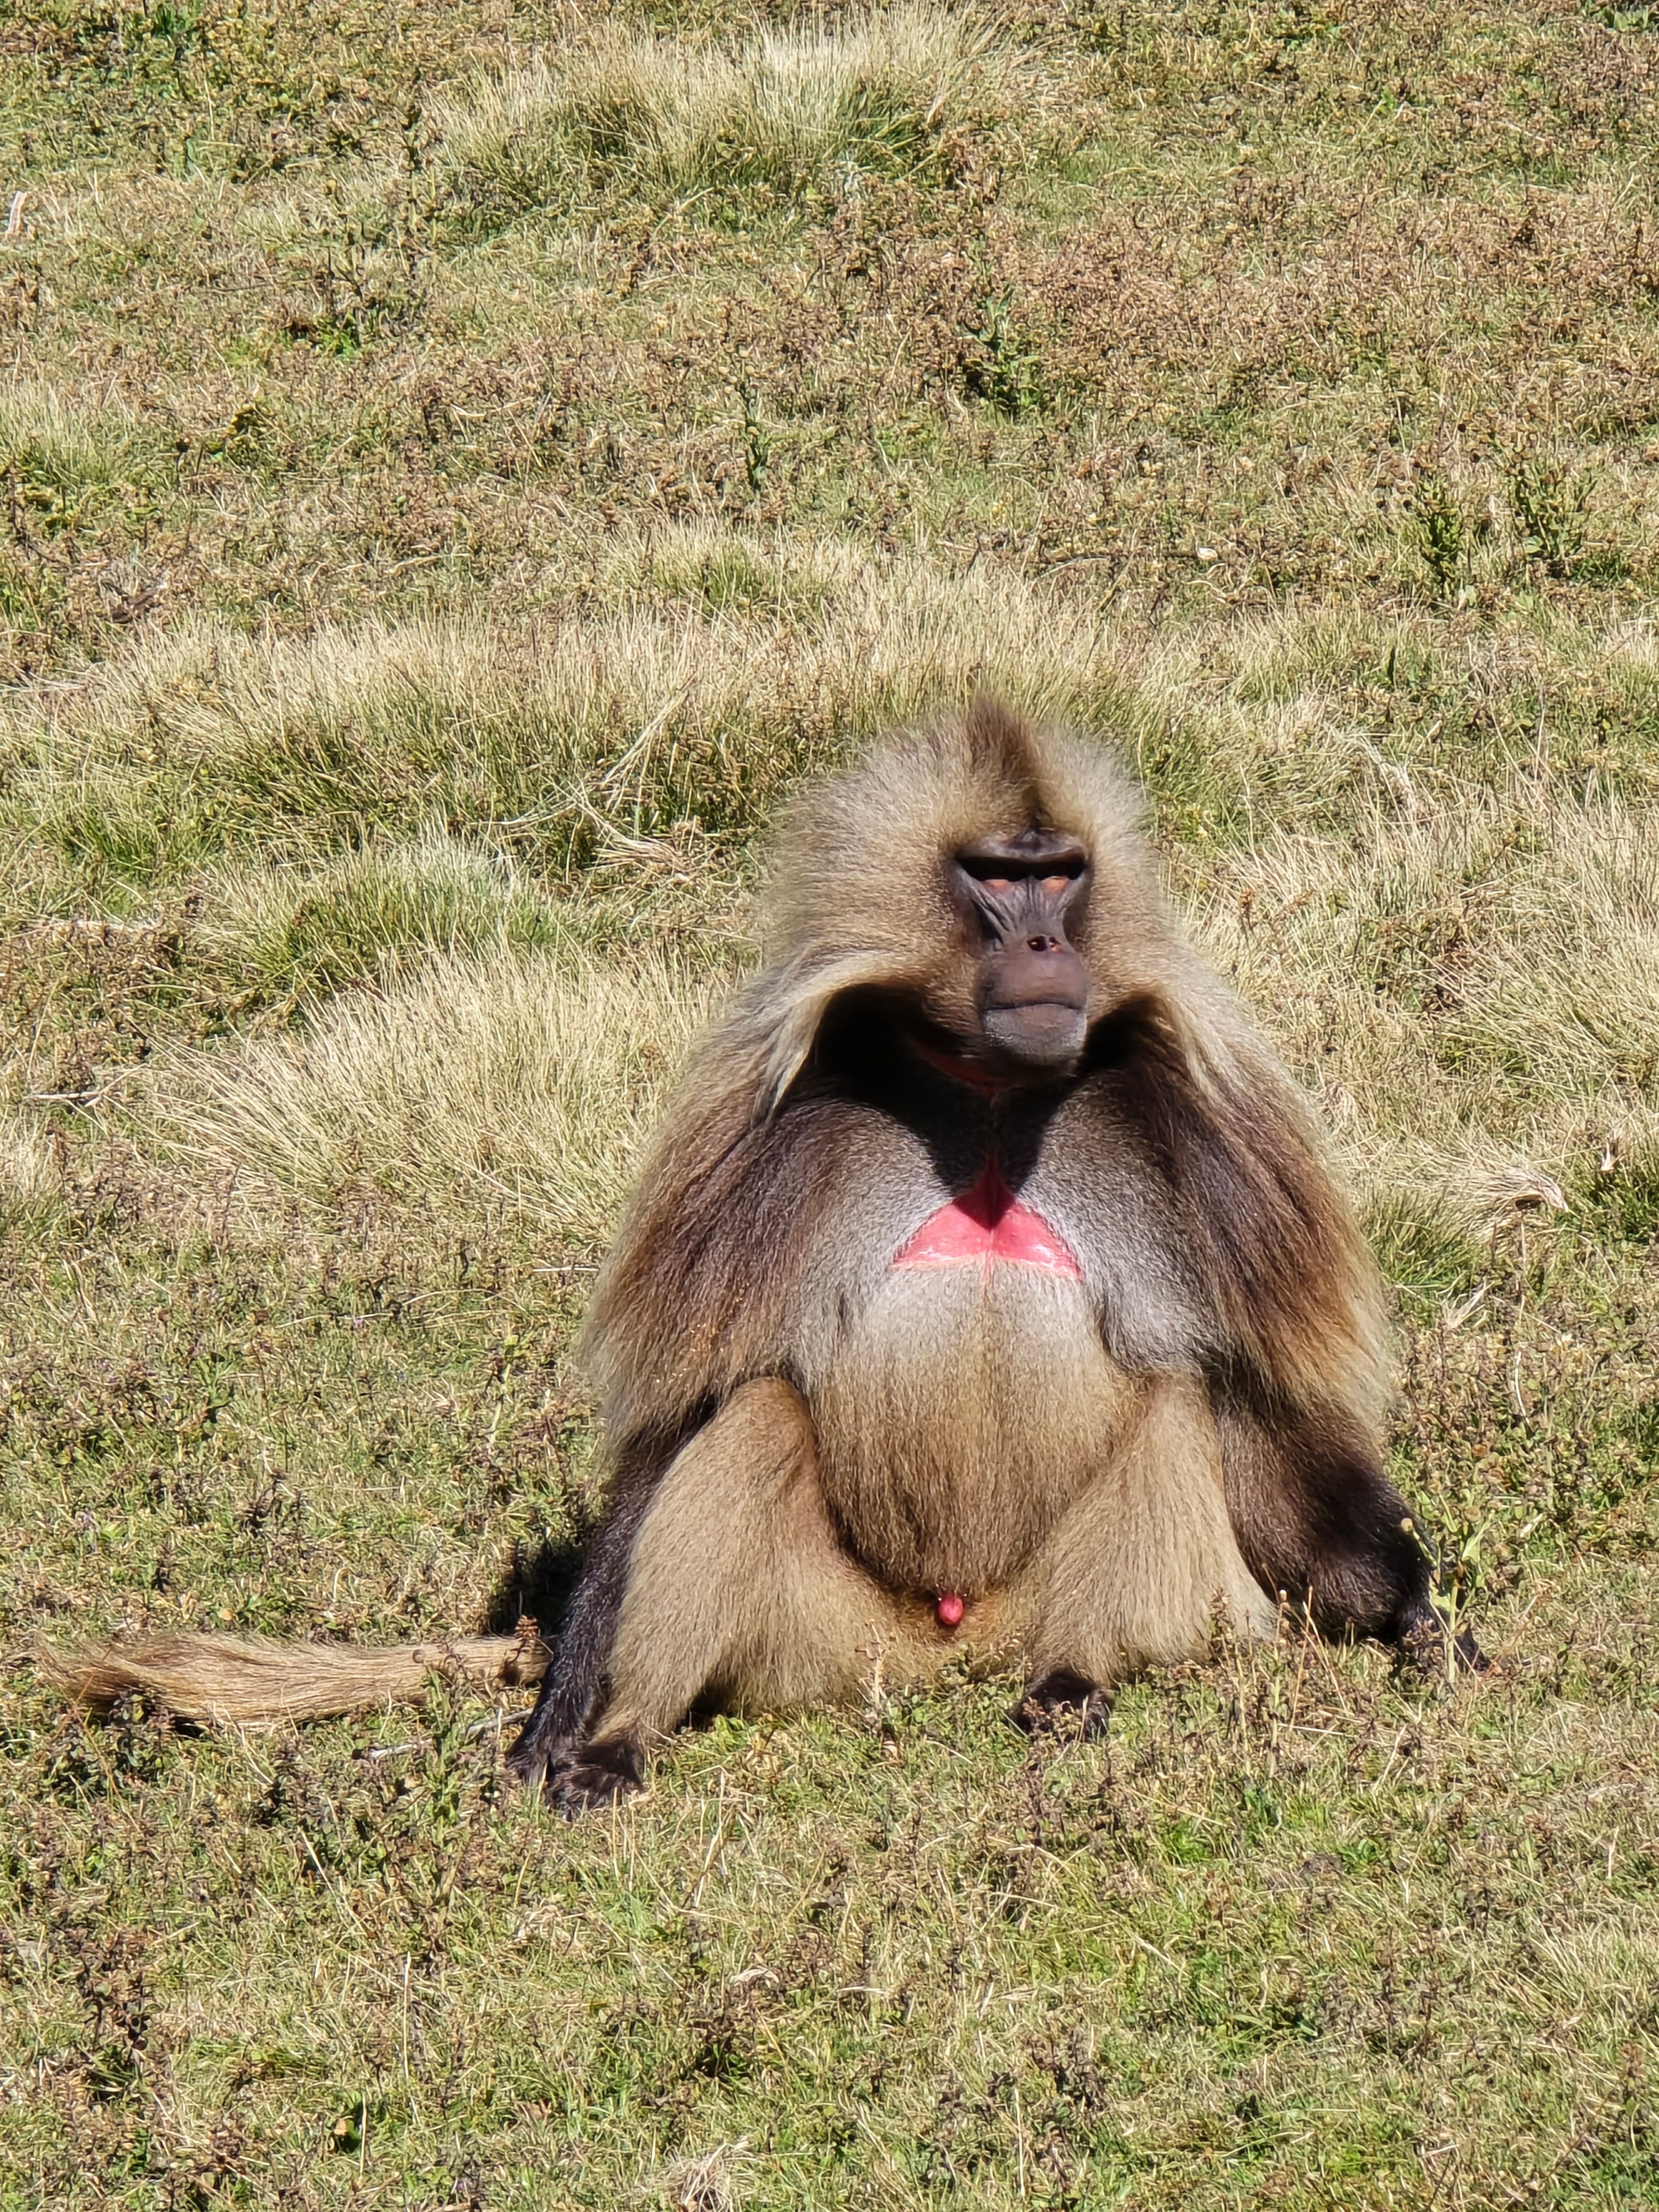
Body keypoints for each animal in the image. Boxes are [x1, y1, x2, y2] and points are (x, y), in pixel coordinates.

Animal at [31, 701, 1463, 1801]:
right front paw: (559, 1714)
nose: (1050, 943)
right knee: (761, 1416)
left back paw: (1073, 1684)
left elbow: (1264, 1405)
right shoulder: (763, 1138)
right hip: (822, 1642)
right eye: (995, 878)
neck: (989, 1096)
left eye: (1061, 870)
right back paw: (613, 1739)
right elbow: (683, 1418)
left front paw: (1409, 1612)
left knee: (1169, 1402)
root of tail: (953, 1645)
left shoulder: (1204, 1138)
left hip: (1042, 1606)